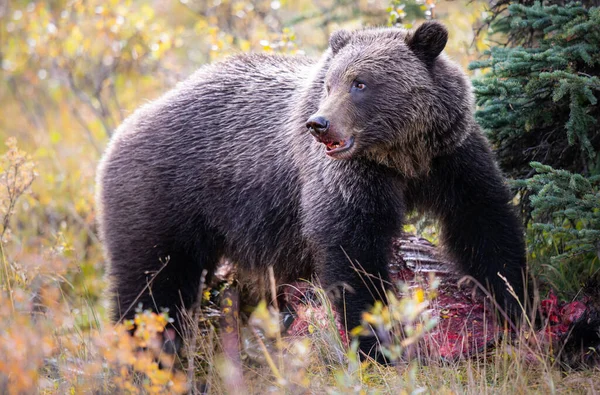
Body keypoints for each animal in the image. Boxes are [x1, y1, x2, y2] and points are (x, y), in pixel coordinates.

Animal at [96, 22, 528, 362]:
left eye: (360, 83)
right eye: (329, 84)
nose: (319, 124)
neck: (401, 158)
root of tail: (123, 128)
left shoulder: (452, 156)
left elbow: (484, 221)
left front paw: (516, 305)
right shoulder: (346, 178)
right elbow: (351, 252)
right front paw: (374, 343)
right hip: (163, 199)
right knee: (151, 289)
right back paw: (147, 358)